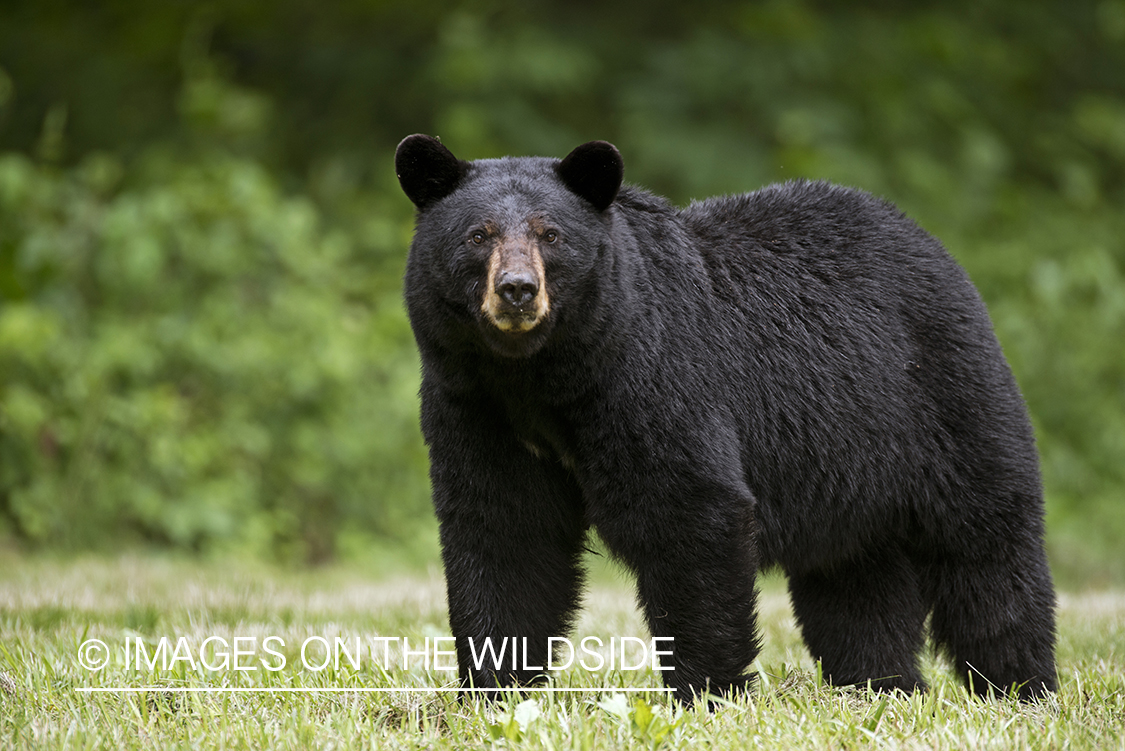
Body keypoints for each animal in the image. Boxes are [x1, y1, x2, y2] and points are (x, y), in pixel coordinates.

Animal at [394, 134, 1057, 703]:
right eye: (477, 235)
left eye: (550, 234)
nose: (517, 290)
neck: (541, 378)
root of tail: (930, 242)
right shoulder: (474, 406)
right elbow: (505, 532)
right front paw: (493, 690)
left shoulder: (653, 379)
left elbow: (691, 515)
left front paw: (706, 691)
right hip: (850, 461)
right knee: (854, 578)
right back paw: (883, 685)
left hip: (942, 398)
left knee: (985, 545)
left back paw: (1019, 686)